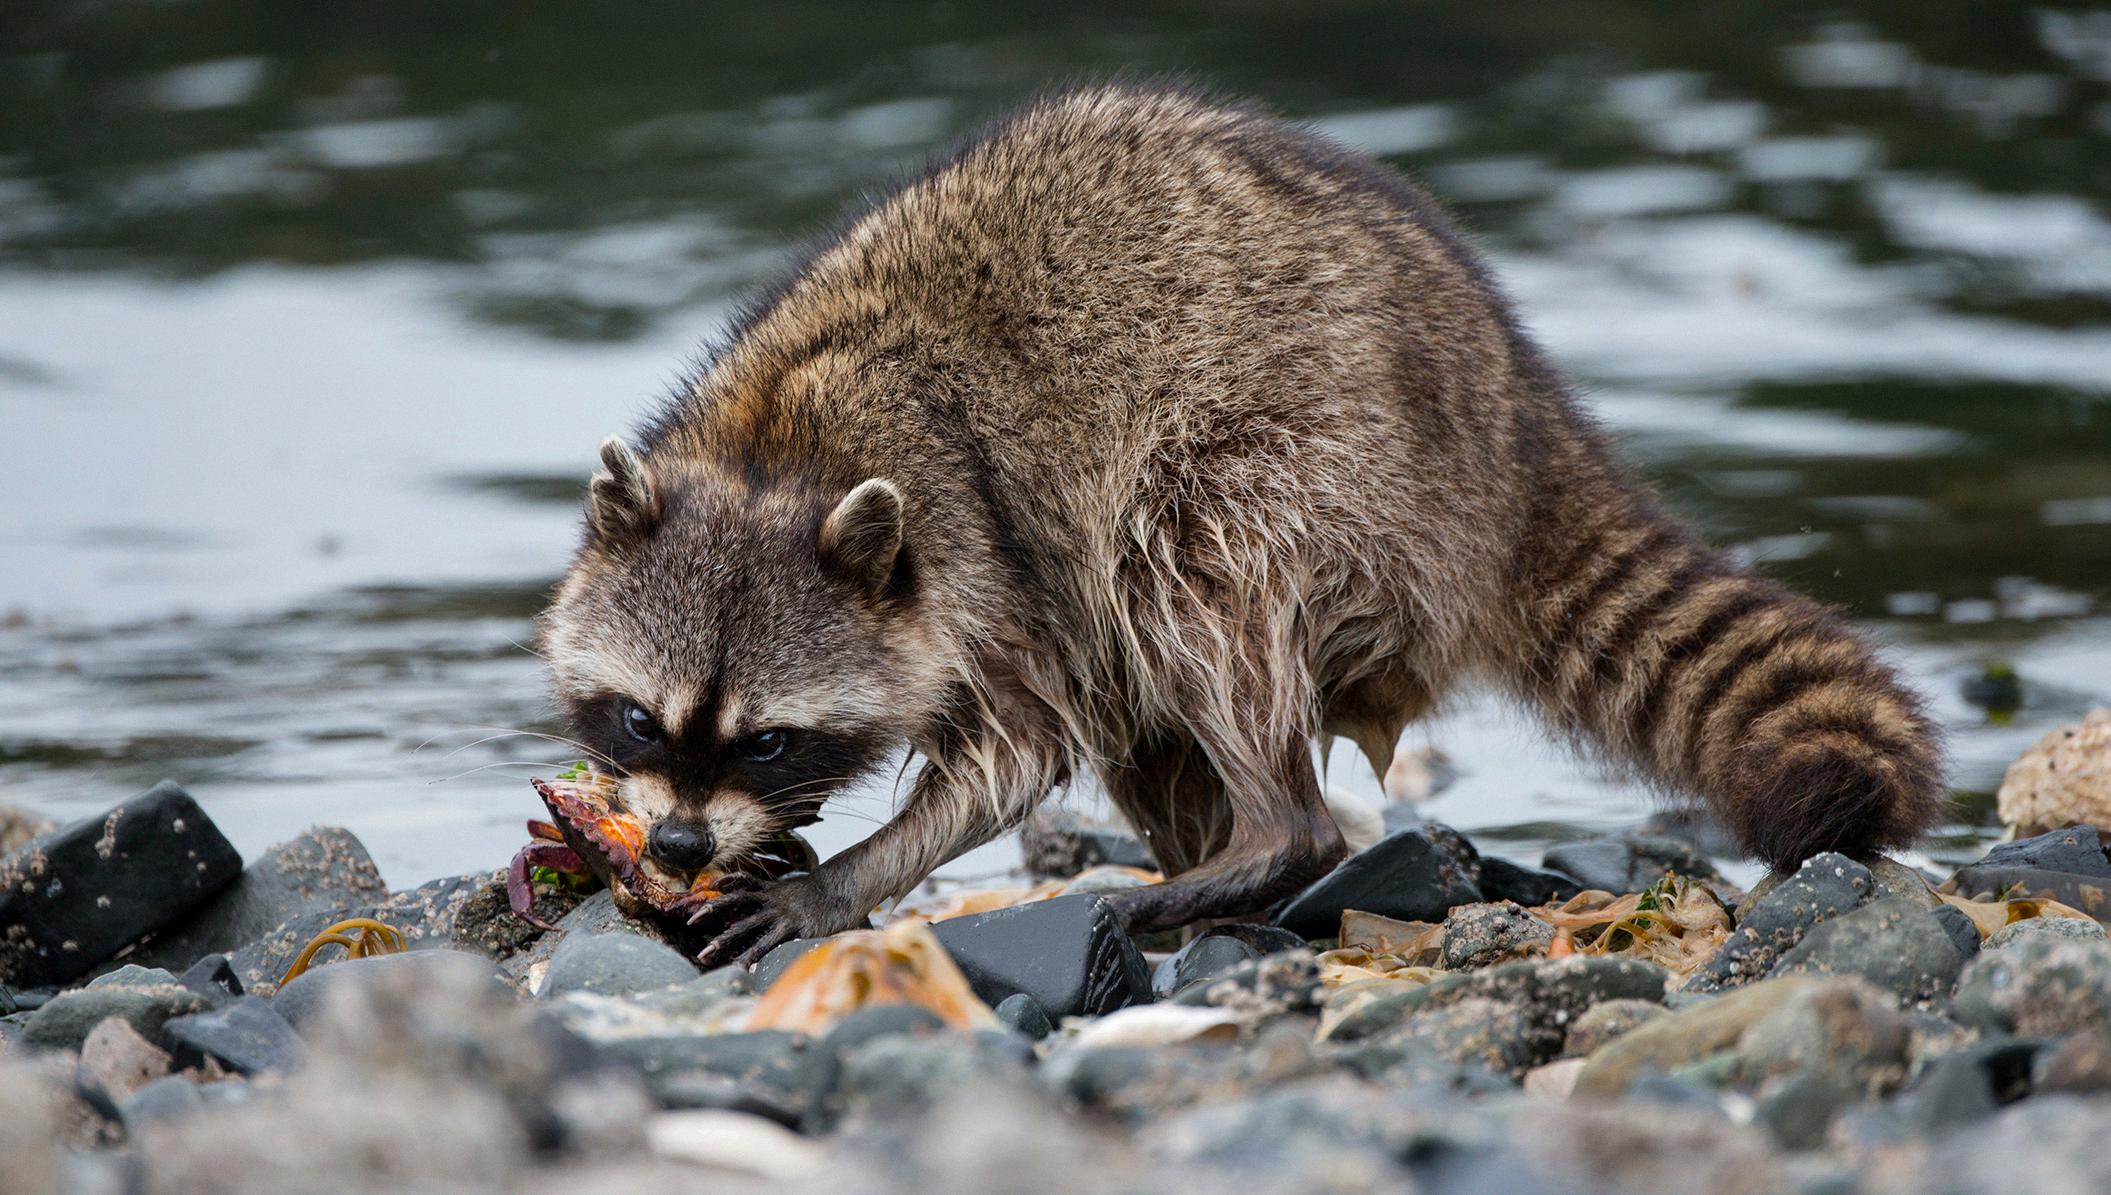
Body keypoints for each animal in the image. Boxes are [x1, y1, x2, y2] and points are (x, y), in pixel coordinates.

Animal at [544, 84, 1942, 966]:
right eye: (639, 720)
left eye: (769, 741)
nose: (674, 840)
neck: (779, 450)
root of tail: (1515, 419)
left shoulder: (982, 556)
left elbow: (1016, 750)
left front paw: (844, 879)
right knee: (1145, 695)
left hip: (1334, 475)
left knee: (1188, 567)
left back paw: (1259, 843)